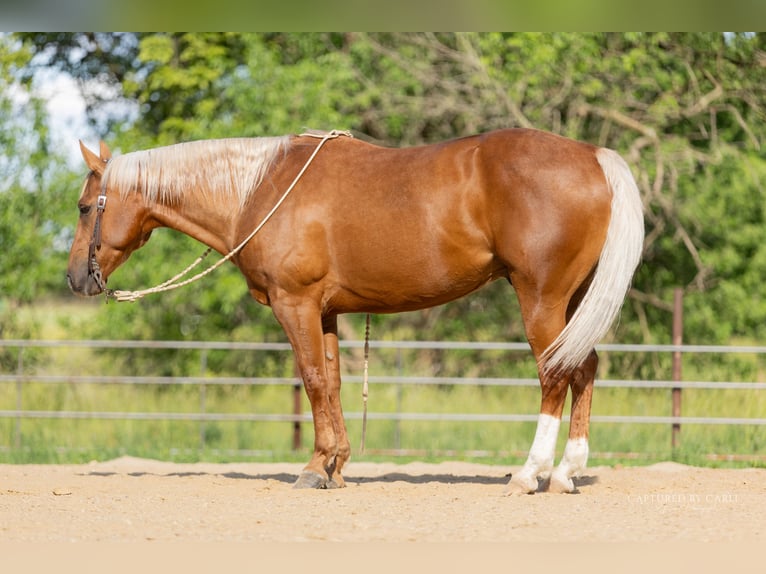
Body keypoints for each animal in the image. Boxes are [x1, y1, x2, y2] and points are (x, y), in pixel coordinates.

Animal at [66, 130, 644, 496]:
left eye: (83, 206)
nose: (75, 278)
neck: (260, 190)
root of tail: (593, 156)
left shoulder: (294, 304)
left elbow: (312, 379)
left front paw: (312, 467)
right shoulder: (325, 312)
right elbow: (333, 382)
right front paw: (335, 466)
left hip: (541, 297)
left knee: (554, 373)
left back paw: (529, 474)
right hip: (575, 301)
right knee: (585, 369)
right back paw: (567, 474)